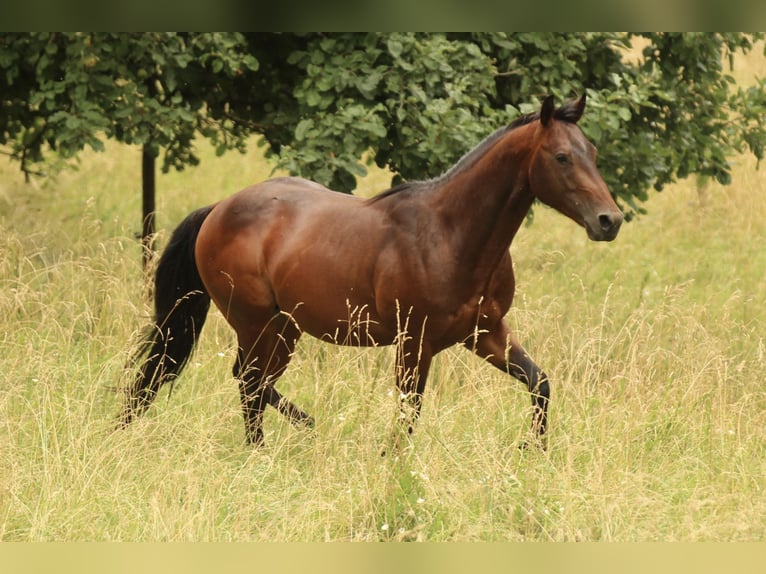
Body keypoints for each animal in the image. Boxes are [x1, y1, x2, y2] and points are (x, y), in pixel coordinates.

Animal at [122, 94, 623, 450]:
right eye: (561, 157)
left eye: (593, 152)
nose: (610, 221)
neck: (451, 234)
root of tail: (218, 210)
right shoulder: (414, 342)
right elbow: (408, 412)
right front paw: (393, 464)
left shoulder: (485, 332)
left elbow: (540, 384)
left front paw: (531, 451)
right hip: (257, 322)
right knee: (250, 383)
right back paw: (272, 446)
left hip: (284, 327)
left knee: (253, 383)